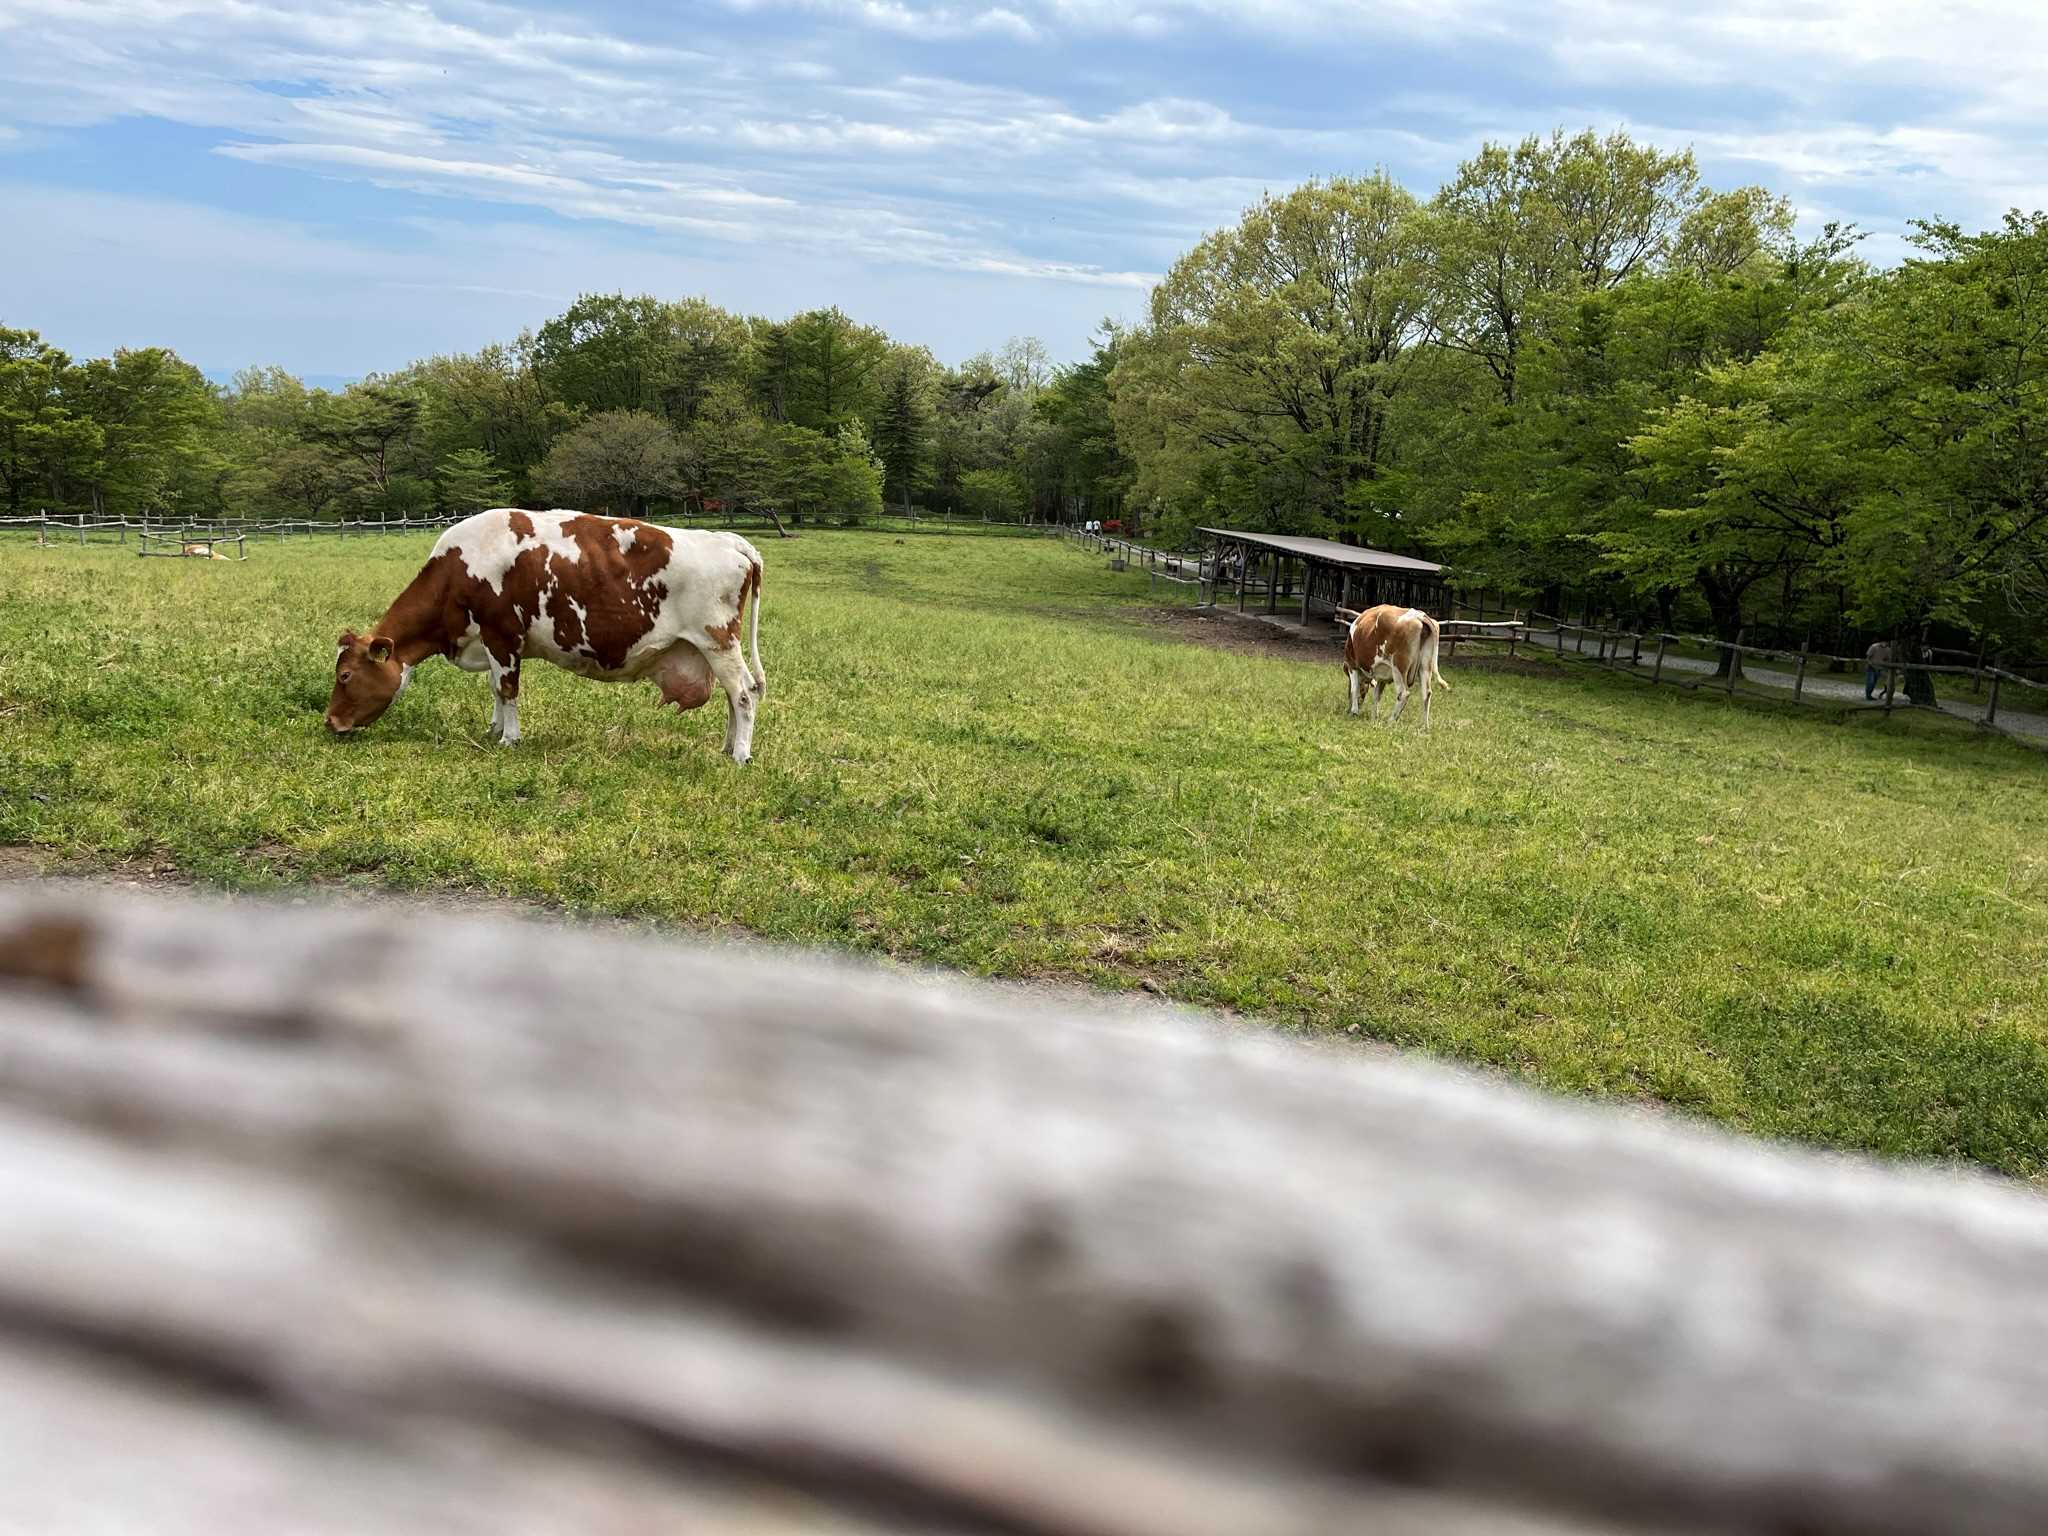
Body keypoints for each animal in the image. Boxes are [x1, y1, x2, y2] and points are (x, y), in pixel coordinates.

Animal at [327, 507, 770, 765]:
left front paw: (509, 738)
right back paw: (728, 746)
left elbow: (507, 688)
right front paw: (493, 729)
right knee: (733, 696)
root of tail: (728, 540)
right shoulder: (490, 642)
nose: (330, 722)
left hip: (717, 640)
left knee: (744, 693)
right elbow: (494, 687)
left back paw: (741, 755)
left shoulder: (502, 634)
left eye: (345, 675)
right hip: (712, 647)